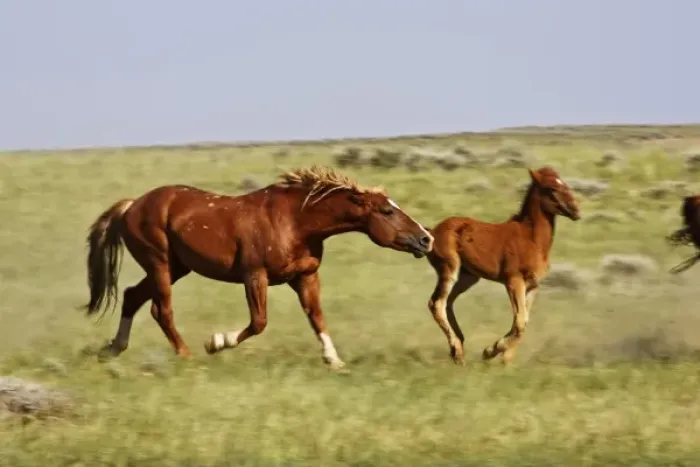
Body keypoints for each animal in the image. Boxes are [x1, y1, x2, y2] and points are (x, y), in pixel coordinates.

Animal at [82, 165, 434, 370]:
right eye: (387, 211)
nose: (426, 239)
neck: (296, 221)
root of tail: (131, 205)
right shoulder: (254, 276)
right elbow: (259, 321)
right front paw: (216, 342)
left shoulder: (305, 276)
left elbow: (316, 316)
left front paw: (334, 360)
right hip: (160, 265)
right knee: (160, 310)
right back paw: (185, 354)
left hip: (177, 267)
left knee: (132, 296)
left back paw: (112, 349)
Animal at [424, 167, 581, 366]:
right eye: (551, 188)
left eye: (564, 183)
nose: (576, 210)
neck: (531, 239)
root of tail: (432, 232)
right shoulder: (513, 281)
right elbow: (520, 322)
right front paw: (493, 351)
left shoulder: (533, 286)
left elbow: (523, 322)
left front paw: (503, 358)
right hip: (449, 268)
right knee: (437, 303)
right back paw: (457, 350)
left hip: (468, 276)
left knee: (448, 303)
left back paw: (457, 348)